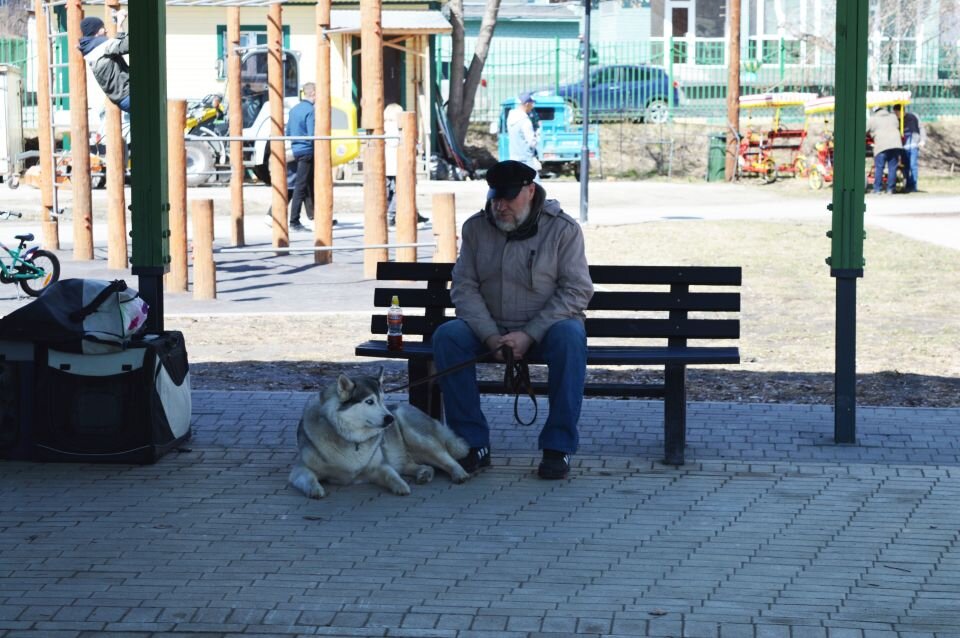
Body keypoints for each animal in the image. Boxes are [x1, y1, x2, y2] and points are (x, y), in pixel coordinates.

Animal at [290, 370, 474, 500]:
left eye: (382, 400)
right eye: (370, 401)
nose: (390, 418)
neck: (352, 439)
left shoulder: (379, 466)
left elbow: (390, 475)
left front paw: (401, 486)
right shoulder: (299, 469)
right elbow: (309, 477)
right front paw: (315, 489)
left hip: (417, 437)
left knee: (447, 458)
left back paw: (459, 474)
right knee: (416, 465)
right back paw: (424, 473)